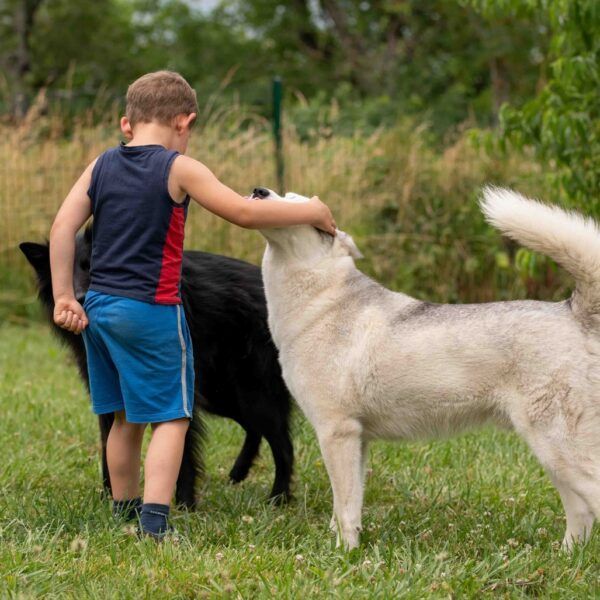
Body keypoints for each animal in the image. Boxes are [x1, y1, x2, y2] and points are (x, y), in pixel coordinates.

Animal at [22, 229, 294, 506]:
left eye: (92, 267)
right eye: (61, 273)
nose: (79, 299)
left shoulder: (177, 397)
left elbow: (182, 453)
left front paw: (185, 503)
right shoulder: (109, 397)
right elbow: (109, 446)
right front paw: (112, 498)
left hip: (251, 393)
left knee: (283, 443)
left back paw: (279, 496)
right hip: (224, 396)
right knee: (255, 429)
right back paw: (239, 472)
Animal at [252, 186, 600, 548]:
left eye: (298, 203)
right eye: (285, 194)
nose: (259, 191)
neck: (320, 300)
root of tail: (571, 311)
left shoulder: (337, 431)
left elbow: (344, 509)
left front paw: (343, 554)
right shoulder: (357, 439)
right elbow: (349, 507)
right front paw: (347, 548)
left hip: (559, 448)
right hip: (553, 456)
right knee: (581, 512)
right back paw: (567, 555)